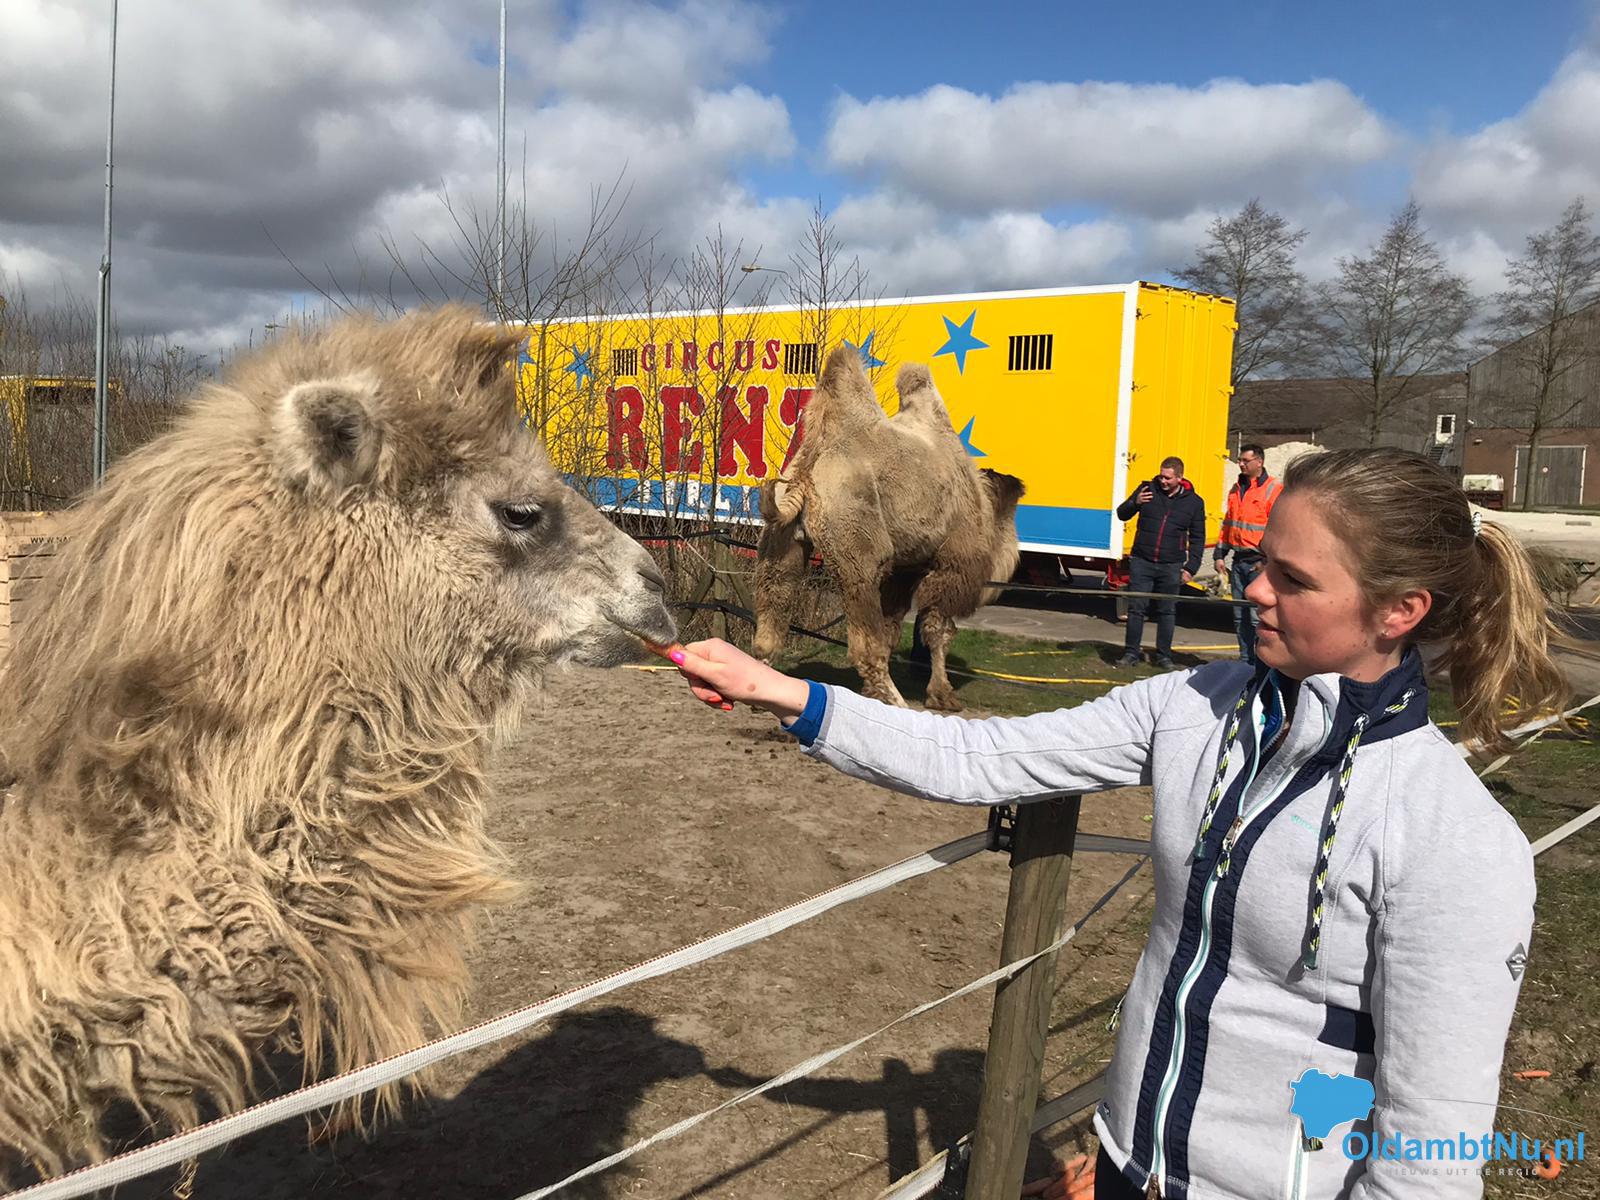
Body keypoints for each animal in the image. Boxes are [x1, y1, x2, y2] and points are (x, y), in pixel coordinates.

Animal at [752, 346, 1024, 712]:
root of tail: (806, 473)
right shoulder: (952, 562)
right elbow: (938, 629)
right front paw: (943, 694)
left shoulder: (906, 568)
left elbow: (894, 627)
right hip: (858, 548)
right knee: (865, 642)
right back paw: (897, 701)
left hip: (780, 543)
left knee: (771, 619)